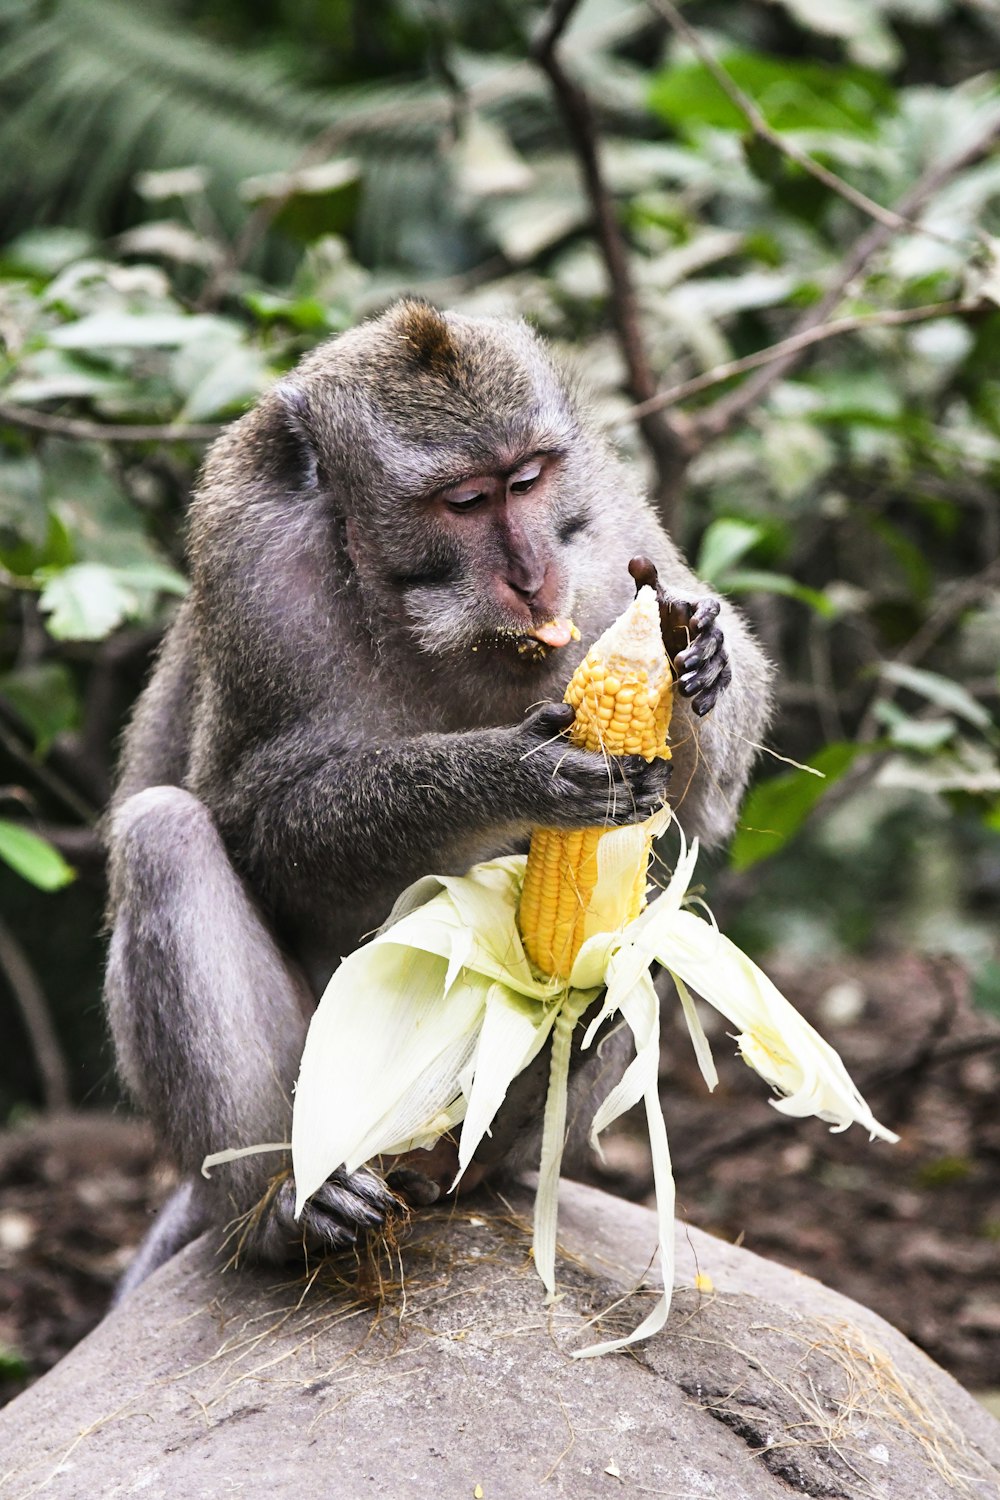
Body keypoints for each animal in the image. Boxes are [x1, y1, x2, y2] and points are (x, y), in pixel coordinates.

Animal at [103, 298, 773, 1296]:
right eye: (465, 502)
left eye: (527, 481)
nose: (533, 574)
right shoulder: (254, 564)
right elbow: (259, 823)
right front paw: (513, 771)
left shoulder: (607, 530)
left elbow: (699, 813)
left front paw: (699, 648)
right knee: (164, 835)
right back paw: (283, 1210)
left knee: (650, 921)